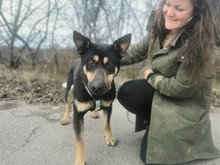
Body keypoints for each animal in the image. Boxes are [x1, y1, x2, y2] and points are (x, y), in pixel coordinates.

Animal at [60, 31, 131, 165]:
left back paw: (94, 113)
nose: (97, 87)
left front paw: (109, 137)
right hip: (69, 89)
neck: (96, 96)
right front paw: (80, 160)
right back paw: (65, 118)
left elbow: (106, 124)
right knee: (67, 104)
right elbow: (80, 142)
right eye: (91, 62)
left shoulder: (108, 106)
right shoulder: (78, 115)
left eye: (110, 64)